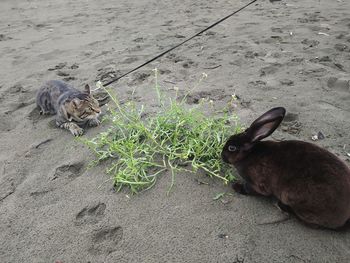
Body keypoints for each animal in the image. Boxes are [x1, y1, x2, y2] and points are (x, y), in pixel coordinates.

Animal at [221, 107, 350, 229]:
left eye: (232, 148)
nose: (222, 156)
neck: (249, 154)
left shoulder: (257, 184)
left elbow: (249, 189)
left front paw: (236, 186)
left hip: (294, 197)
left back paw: (282, 206)